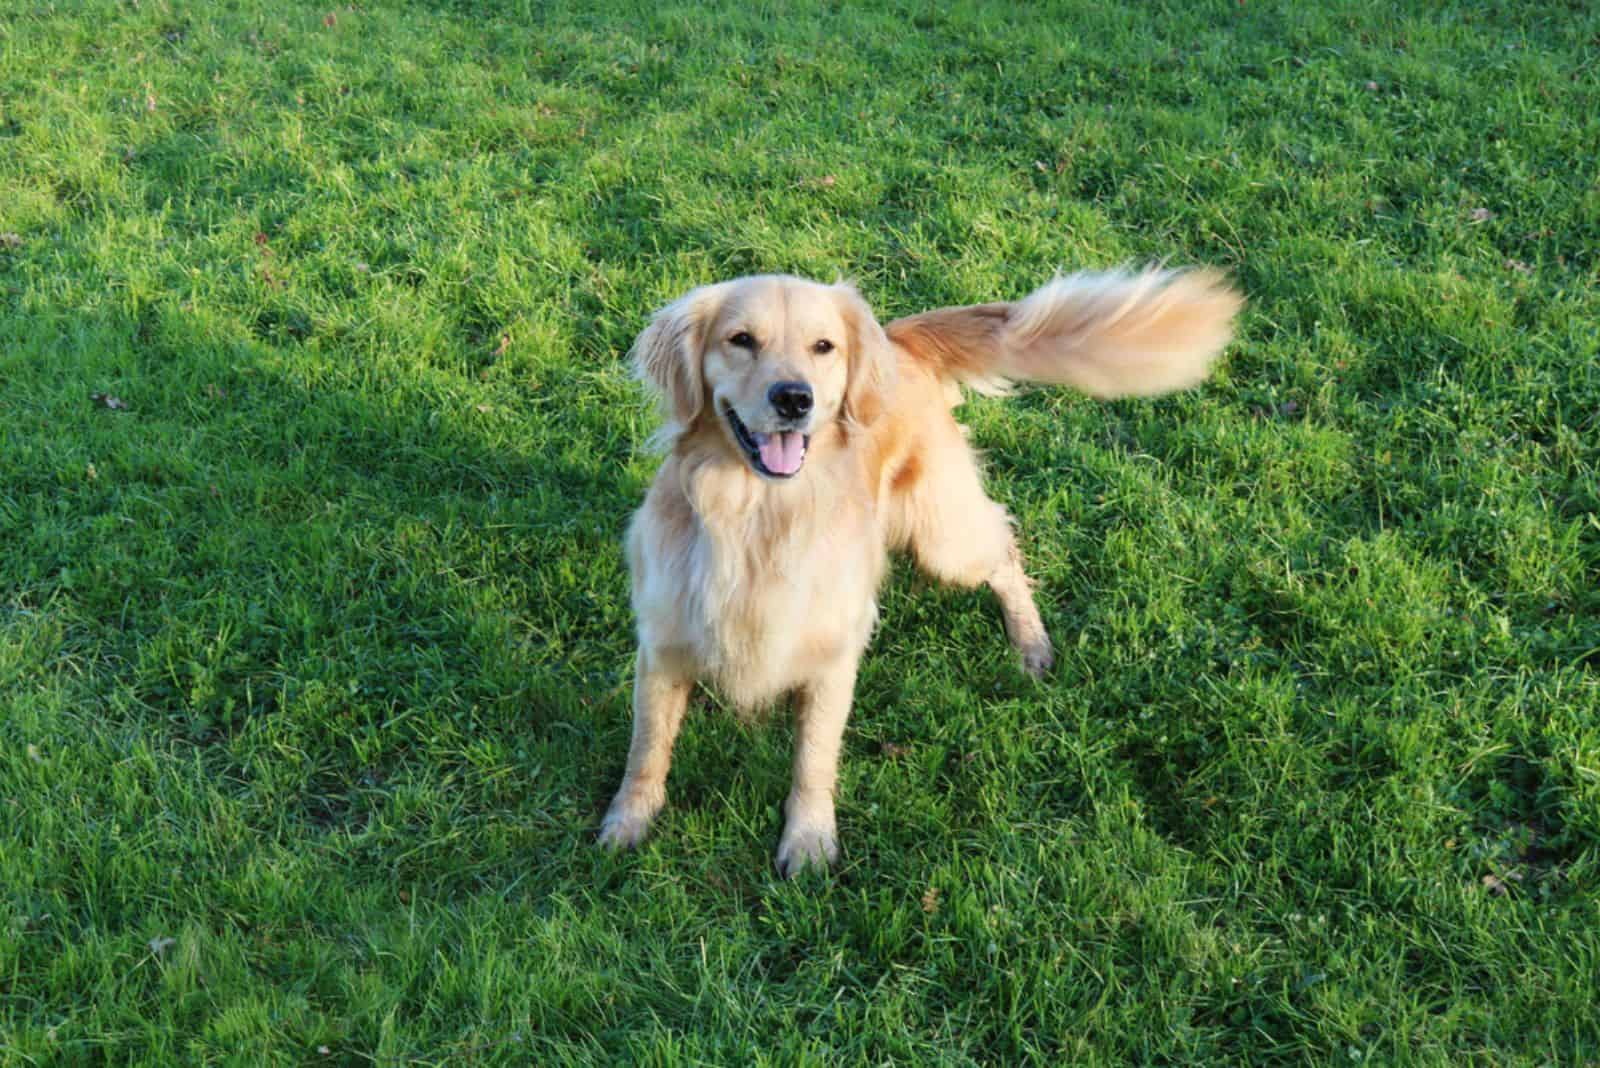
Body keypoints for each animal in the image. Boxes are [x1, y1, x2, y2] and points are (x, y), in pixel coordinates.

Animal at [598, 267, 1235, 876]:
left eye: (823, 346)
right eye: (741, 340)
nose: (795, 399)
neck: (758, 518)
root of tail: (899, 339)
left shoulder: (832, 658)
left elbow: (813, 759)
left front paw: (808, 840)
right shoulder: (662, 648)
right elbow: (647, 747)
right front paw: (628, 821)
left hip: (943, 538)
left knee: (1004, 544)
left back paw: (1029, 642)